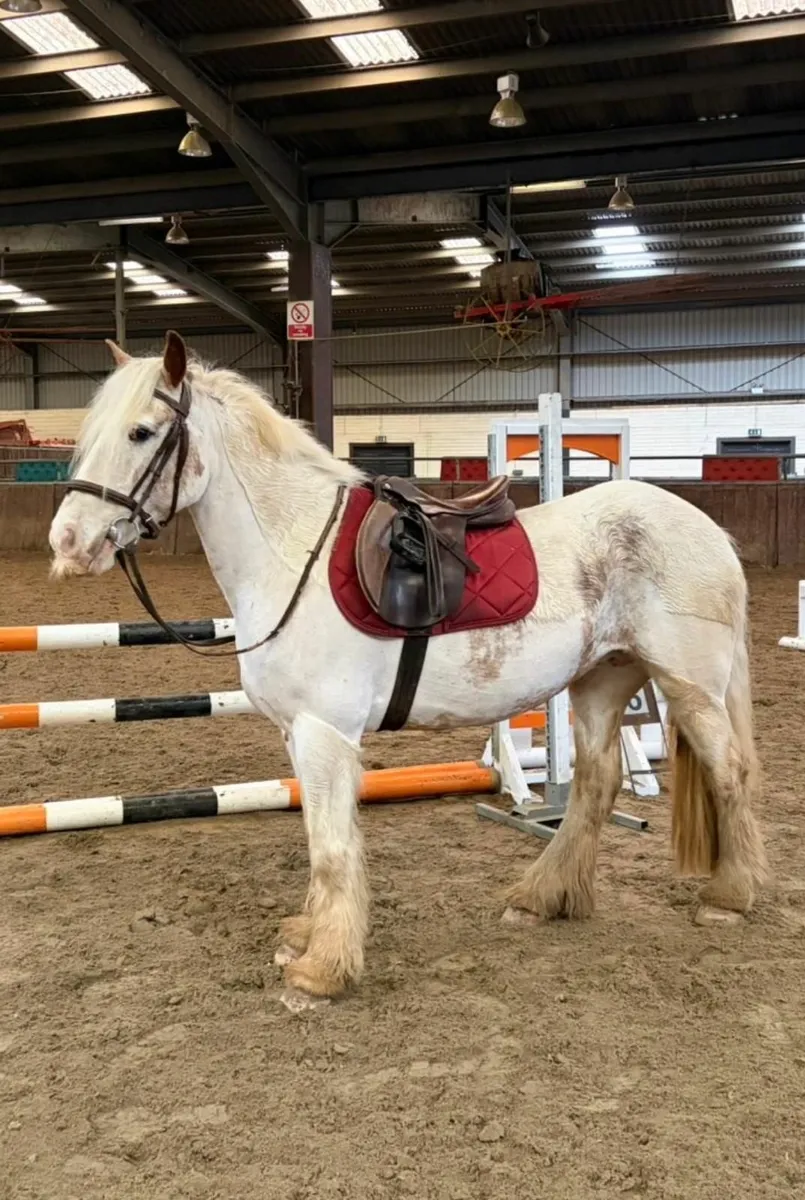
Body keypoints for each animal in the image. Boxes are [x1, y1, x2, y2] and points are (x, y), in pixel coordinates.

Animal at [49, 332, 767, 1013]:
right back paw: (540, 897)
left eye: (142, 432)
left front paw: (321, 971)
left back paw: (728, 898)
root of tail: (708, 531)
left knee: (729, 772)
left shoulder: (324, 732)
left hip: (688, 688)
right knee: (596, 784)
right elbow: (319, 840)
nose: (68, 544)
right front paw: (306, 939)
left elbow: (332, 848)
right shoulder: (297, 734)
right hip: (603, 680)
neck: (293, 550)